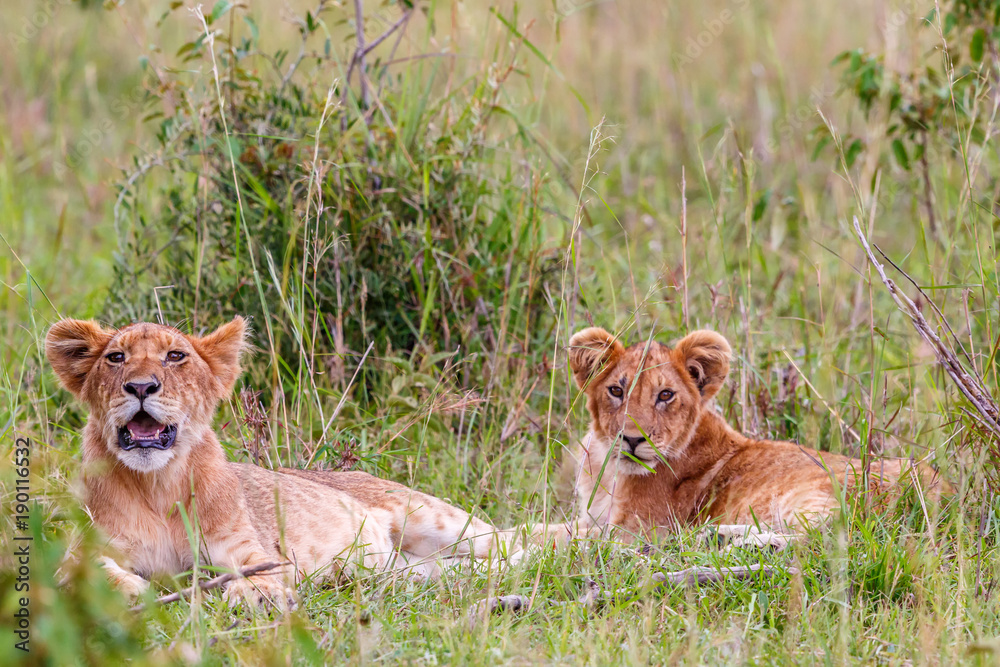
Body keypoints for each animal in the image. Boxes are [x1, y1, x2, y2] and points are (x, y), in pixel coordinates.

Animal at [46, 317, 526, 609]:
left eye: (175, 356)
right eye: (116, 357)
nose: (141, 386)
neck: (158, 484)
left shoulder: (250, 550)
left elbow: (257, 577)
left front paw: (253, 598)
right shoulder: (86, 548)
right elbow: (82, 572)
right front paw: (132, 590)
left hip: (432, 517)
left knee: (517, 539)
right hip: (405, 570)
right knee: (458, 570)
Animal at [538, 327, 947, 548]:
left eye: (665, 395)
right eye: (616, 391)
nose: (633, 440)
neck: (607, 467)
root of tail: (939, 487)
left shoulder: (636, 532)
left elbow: (558, 541)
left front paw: (521, 554)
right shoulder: (597, 520)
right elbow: (542, 528)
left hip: (811, 497)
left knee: (830, 539)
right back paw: (717, 536)